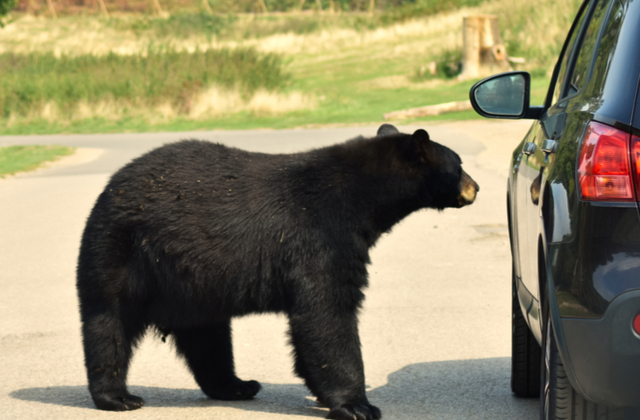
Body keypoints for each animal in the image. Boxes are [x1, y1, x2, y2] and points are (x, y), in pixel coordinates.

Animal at [76, 123, 476, 418]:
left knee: (207, 337)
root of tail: (111, 186)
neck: (360, 198)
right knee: (109, 322)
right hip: (120, 251)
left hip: (194, 281)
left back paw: (237, 385)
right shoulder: (320, 237)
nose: (476, 187)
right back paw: (117, 397)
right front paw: (358, 405)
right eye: (458, 164)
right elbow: (327, 312)